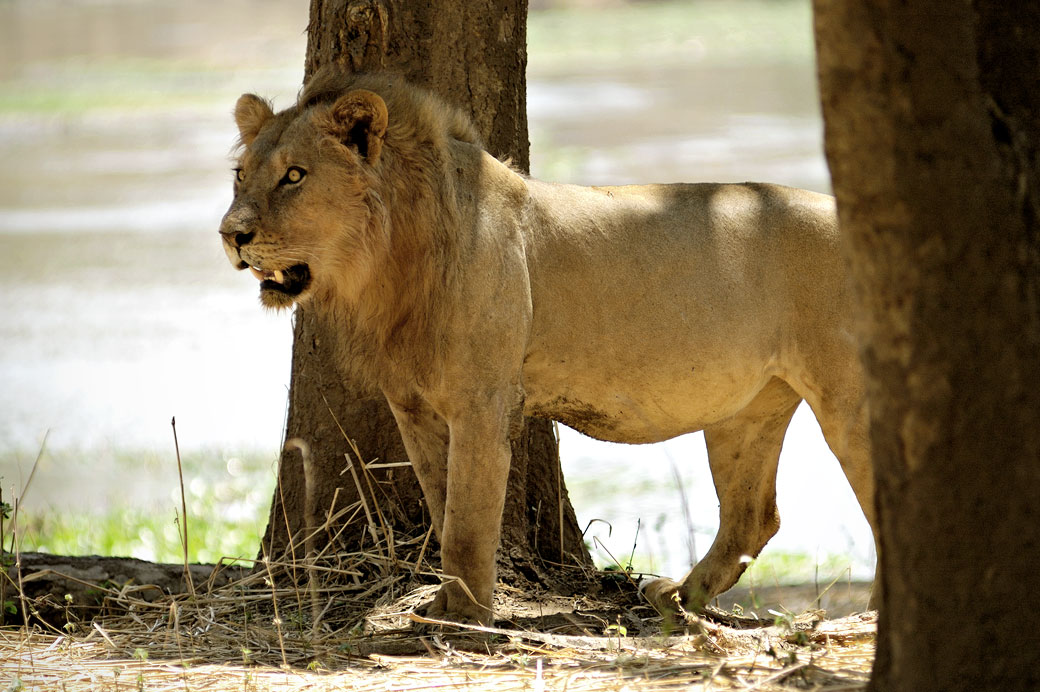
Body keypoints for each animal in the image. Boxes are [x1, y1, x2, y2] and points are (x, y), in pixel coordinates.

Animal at [221, 66, 877, 624]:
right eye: (240, 175)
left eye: (295, 175)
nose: (231, 234)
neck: (388, 264)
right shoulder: (413, 406)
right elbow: (442, 502)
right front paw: (445, 605)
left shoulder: (484, 402)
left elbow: (467, 518)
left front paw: (466, 620)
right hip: (748, 410)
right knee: (753, 517)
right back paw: (675, 598)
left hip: (847, 398)